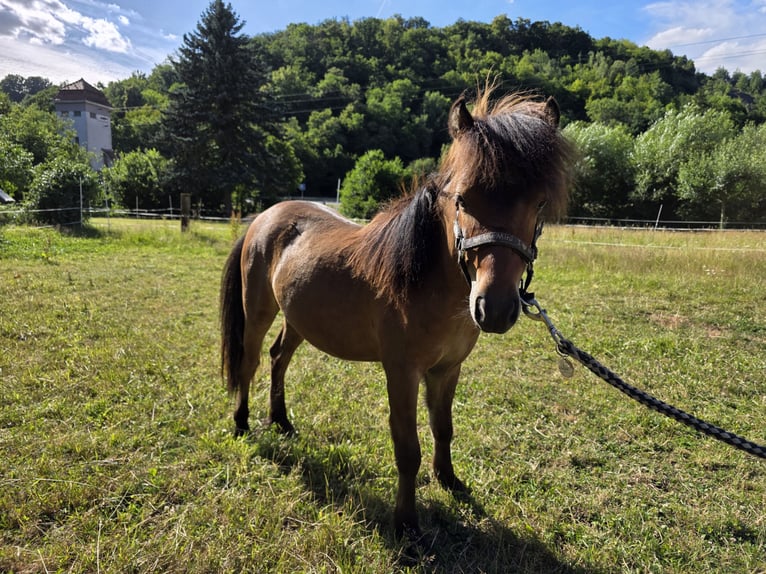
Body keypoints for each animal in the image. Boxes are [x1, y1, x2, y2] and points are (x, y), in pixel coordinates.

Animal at [220, 88, 572, 537]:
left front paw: (449, 480)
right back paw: (242, 423)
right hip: (259, 309)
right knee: (248, 363)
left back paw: (281, 422)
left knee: (278, 358)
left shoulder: (447, 370)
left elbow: (443, 428)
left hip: (298, 317)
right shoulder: (402, 372)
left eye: (539, 204)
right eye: (462, 198)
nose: (493, 309)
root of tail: (263, 216)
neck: (427, 282)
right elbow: (408, 449)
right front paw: (405, 522)